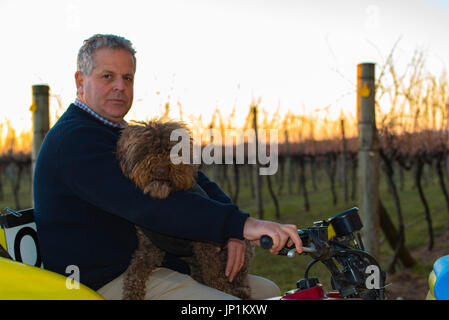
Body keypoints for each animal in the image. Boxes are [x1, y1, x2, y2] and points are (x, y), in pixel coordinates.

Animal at [115, 119, 254, 300]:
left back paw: (241, 291)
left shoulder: (206, 246)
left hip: (244, 251)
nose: (161, 169)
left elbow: (215, 276)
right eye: (146, 150)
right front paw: (132, 294)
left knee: (241, 280)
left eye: (173, 151)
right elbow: (135, 269)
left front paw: (223, 291)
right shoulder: (150, 247)